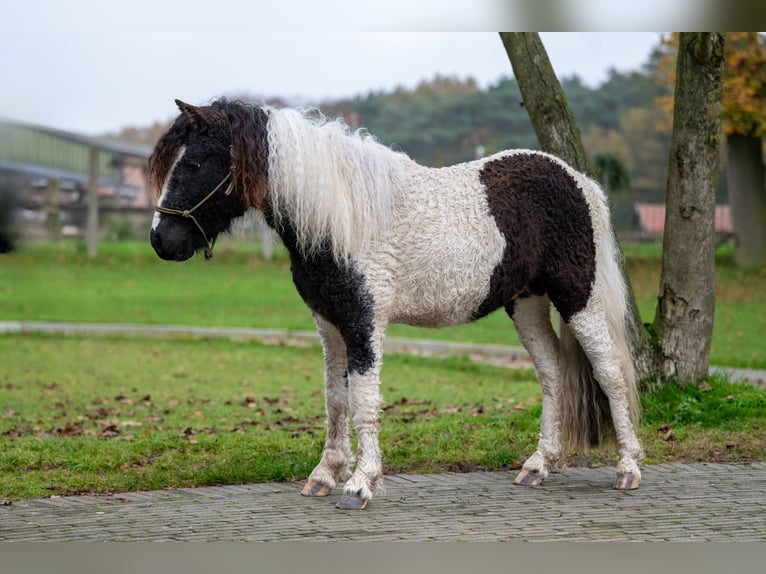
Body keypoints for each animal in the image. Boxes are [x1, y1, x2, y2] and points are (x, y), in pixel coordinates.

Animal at [148, 99, 640, 512]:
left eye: (194, 163)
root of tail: (581, 183)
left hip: (578, 298)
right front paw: (326, 473)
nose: (160, 241)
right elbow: (335, 398)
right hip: (527, 303)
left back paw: (628, 467)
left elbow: (364, 400)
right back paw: (540, 464)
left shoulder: (364, 323)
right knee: (553, 373)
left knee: (610, 372)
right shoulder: (329, 324)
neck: (342, 218)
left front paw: (361, 483)